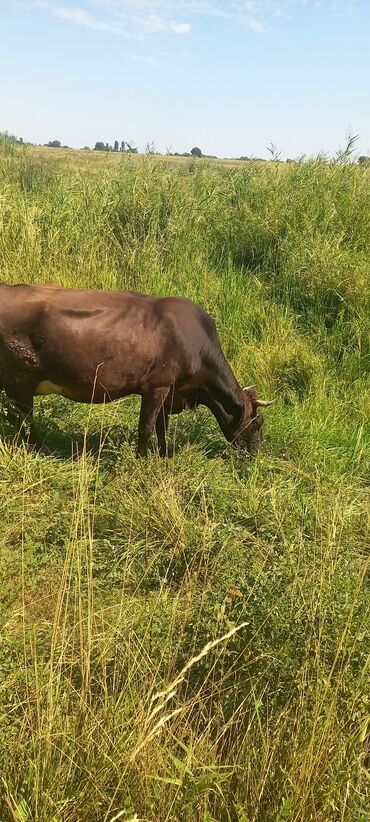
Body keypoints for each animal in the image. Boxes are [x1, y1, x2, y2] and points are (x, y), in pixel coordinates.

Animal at [0, 284, 274, 458]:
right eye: (258, 423)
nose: (259, 455)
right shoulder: (156, 386)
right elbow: (146, 427)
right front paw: (142, 460)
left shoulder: (169, 391)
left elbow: (162, 427)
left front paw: (165, 456)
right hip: (19, 381)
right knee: (25, 420)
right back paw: (41, 449)